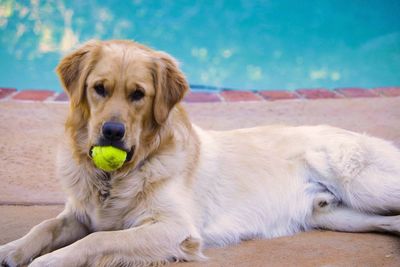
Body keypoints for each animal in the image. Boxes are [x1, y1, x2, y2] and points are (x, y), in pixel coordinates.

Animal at [0, 38, 400, 266]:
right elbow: (44, 226)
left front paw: (49, 262)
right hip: (338, 214)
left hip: (366, 187)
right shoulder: (78, 214)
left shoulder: (175, 227)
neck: (117, 177)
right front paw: (11, 250)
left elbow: (99, 239)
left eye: (138, 94)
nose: (112, 132)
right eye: (99, 88)